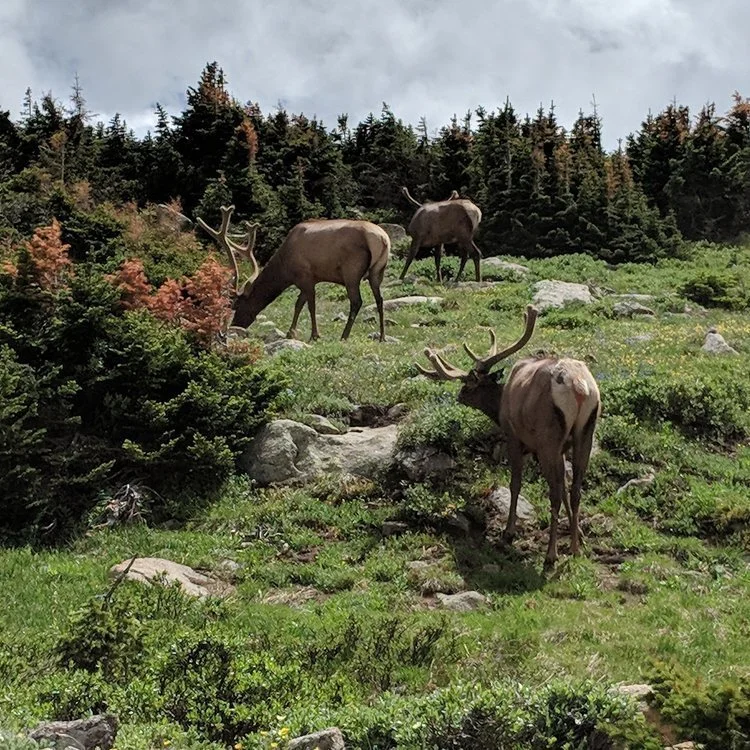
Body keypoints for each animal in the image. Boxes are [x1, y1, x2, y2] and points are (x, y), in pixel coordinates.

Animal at [196, 206, 391, 341]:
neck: (285, 270)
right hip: (377, 272)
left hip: (352, 271)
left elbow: (310, 305)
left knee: (357, 301)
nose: (236, 326)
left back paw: (344, 335)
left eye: (236, 306)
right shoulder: (307, 280)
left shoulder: (306, 277)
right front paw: (291, 332)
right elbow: (298, 304)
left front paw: (314, 335)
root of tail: (383, 239)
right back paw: (381, 336)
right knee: (380, 299)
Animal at [415, 305, 601, 568]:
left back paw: (551, 554)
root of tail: (579, 387)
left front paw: (509, 532)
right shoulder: (564, 448)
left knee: (553, 493)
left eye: (467, 385)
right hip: (586, 431)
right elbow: (566, 487)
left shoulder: (514, 436)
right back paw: (574, 548)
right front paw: (580, 535)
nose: (459, 396)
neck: (499, 406)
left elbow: (516, 483)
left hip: (548, 438)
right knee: (575, 489)